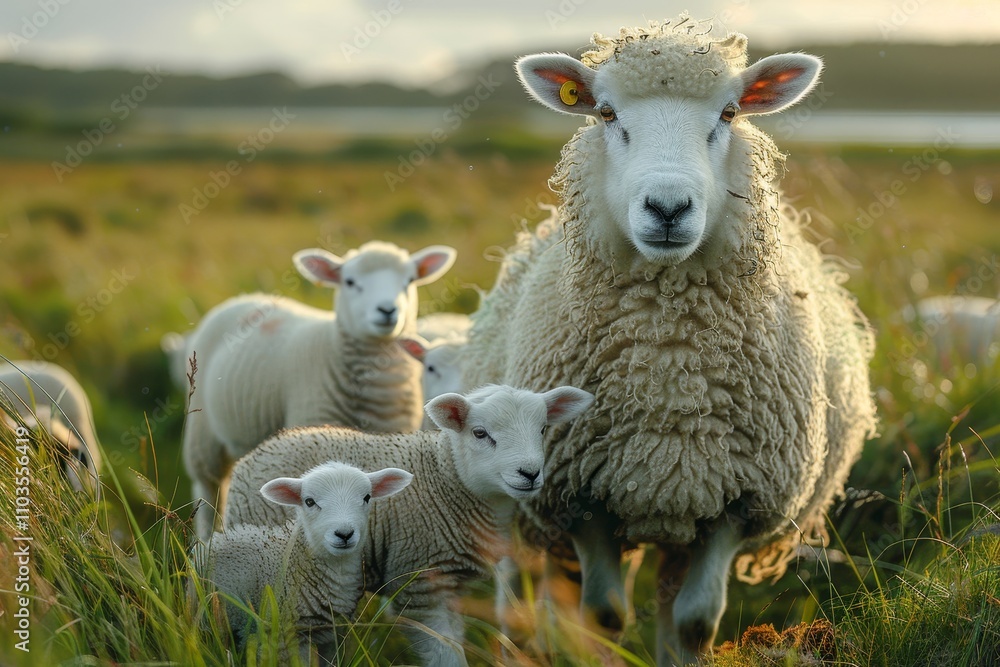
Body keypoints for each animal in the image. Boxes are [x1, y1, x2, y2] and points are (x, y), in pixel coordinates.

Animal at [182, 241, 456, 540]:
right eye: (350, 281)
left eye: (409, 281)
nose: (387, 310)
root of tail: (244, 298)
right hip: (203, 439)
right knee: (209, 492)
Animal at [223, 384, 595, 667]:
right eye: (480, 433)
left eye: (543, 429)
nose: (530, 473)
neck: (447, 479)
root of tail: (251, 458)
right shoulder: (420, 581)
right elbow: (445, 655)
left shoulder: (449, 584)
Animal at [463, 18, 877, 664]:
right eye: (606, 114)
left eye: (729, 113)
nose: (667, 207)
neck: (669, 356)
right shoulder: (580, 501)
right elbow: (604, 614)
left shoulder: (736, 503)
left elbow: (693, 622)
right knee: (520, 597)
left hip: (671, 511)